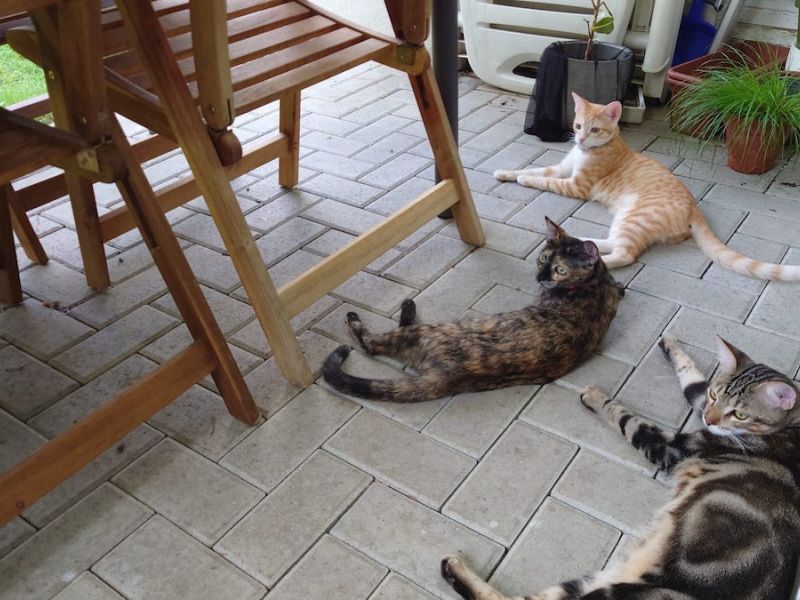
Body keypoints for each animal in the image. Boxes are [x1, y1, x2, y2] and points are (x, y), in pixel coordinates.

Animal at [322, 218, 622, 403]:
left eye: (560, 269)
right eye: (543, 258)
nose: (539, 277)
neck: (592, 284)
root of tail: (445, 378)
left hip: (424, 332)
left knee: (372, 343)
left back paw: (369, 316)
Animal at [441, 336, 800, 600]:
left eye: (740, 414)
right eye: (715, 396)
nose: (710, 419)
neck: (792, 428)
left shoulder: (672, 447)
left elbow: (627, 419)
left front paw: (595, 397)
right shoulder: (700, 404)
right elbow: (691, 377)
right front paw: (670, 344)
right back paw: (451, 567)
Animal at [495, 92, 800, 282]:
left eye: (595, 130)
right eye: (578, 125)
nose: (579, 139)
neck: (587, 152)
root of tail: (694, 206)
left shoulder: (575, 185)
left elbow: (543, 180)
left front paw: (524, 180)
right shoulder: (561, 170)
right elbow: (534, 169)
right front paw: (506, 173)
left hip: (634, 218)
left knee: (624, 254)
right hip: (624, 219)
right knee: (610, 243)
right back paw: (579, 241)